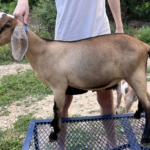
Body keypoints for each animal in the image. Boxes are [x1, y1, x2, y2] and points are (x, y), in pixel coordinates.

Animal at [0, 12, 150, 144]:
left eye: (7, 25)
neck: (42, 50)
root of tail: (144, 46)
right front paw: (53, 125)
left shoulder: (59, 85)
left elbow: (57, 108)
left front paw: (54, 133)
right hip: (136, 75)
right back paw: (137, 115)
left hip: (135, 74)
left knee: (147, 102)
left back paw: (145, 137)